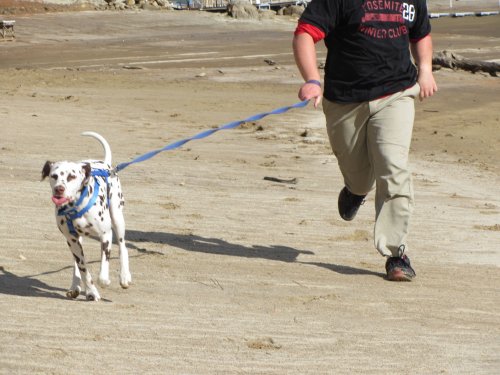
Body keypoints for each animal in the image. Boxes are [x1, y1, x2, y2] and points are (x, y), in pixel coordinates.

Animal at [41, 133, 131, 302]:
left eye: (71, 176)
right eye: (54, 176)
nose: (59, 189)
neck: (75, 206)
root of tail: (105, 164)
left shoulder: (106, 235)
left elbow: (103, 269)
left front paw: (104, 280)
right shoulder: (72, 240)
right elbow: (83, 269)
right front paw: (91, 291)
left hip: (117, 218)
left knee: (123, 247)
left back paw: (124, 277)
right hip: (76, 242)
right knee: (76, 265)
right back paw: (74, 287)